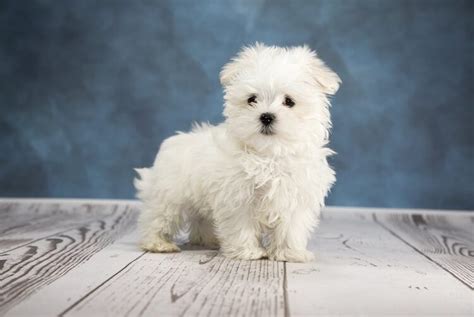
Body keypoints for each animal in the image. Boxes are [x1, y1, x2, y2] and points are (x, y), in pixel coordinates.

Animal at [135, 43, 338, 262]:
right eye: (252, 99)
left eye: (289, 101)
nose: (266, 116)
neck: (268, 154)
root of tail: (172, 142)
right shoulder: (238, 197)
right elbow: (242, 225)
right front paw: (248, 251)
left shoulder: (295, 196)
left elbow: (291, 228)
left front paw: (290, 253)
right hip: (170, 195)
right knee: (156, 217)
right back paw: (157, 243)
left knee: (201, 220)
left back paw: (209, 240)